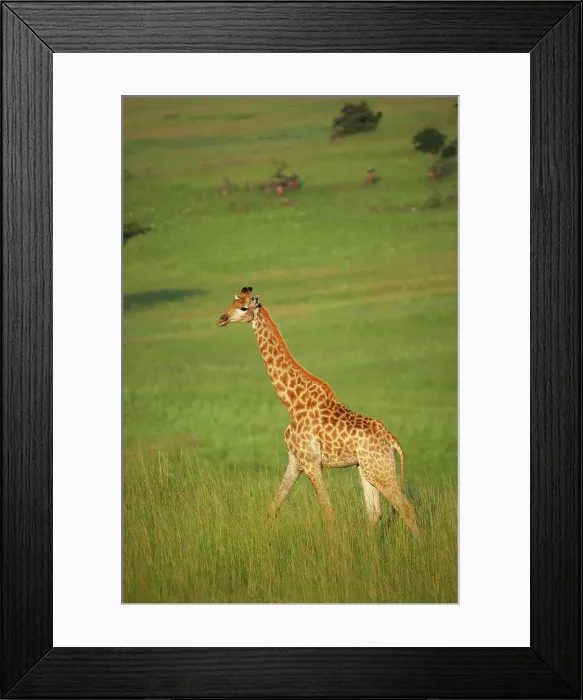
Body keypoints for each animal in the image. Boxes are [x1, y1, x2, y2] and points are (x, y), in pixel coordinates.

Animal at [217, 287, 418, 532]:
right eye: (232, 303)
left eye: (244, 307)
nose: (222, 318)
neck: (292, 402)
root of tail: (392, 441)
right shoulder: (295, 460)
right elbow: (274, 505)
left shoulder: (311, 462)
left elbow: (328, 513)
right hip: (367, 468)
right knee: (374, 512)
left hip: (380, 469)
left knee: (406, 508)